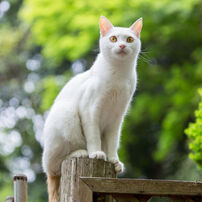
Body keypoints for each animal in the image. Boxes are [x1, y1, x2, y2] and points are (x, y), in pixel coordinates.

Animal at [41, 16, 142, 202]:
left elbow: (112, 142)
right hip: (67, 114)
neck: (118, 75)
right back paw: (81, 152)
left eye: (130, 39)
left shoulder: (117, 118)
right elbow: (93, 135)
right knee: (56, 164)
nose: (122, 46)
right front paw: (96, 153)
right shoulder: (89, 110)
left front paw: (113, 159)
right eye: (113, 39)